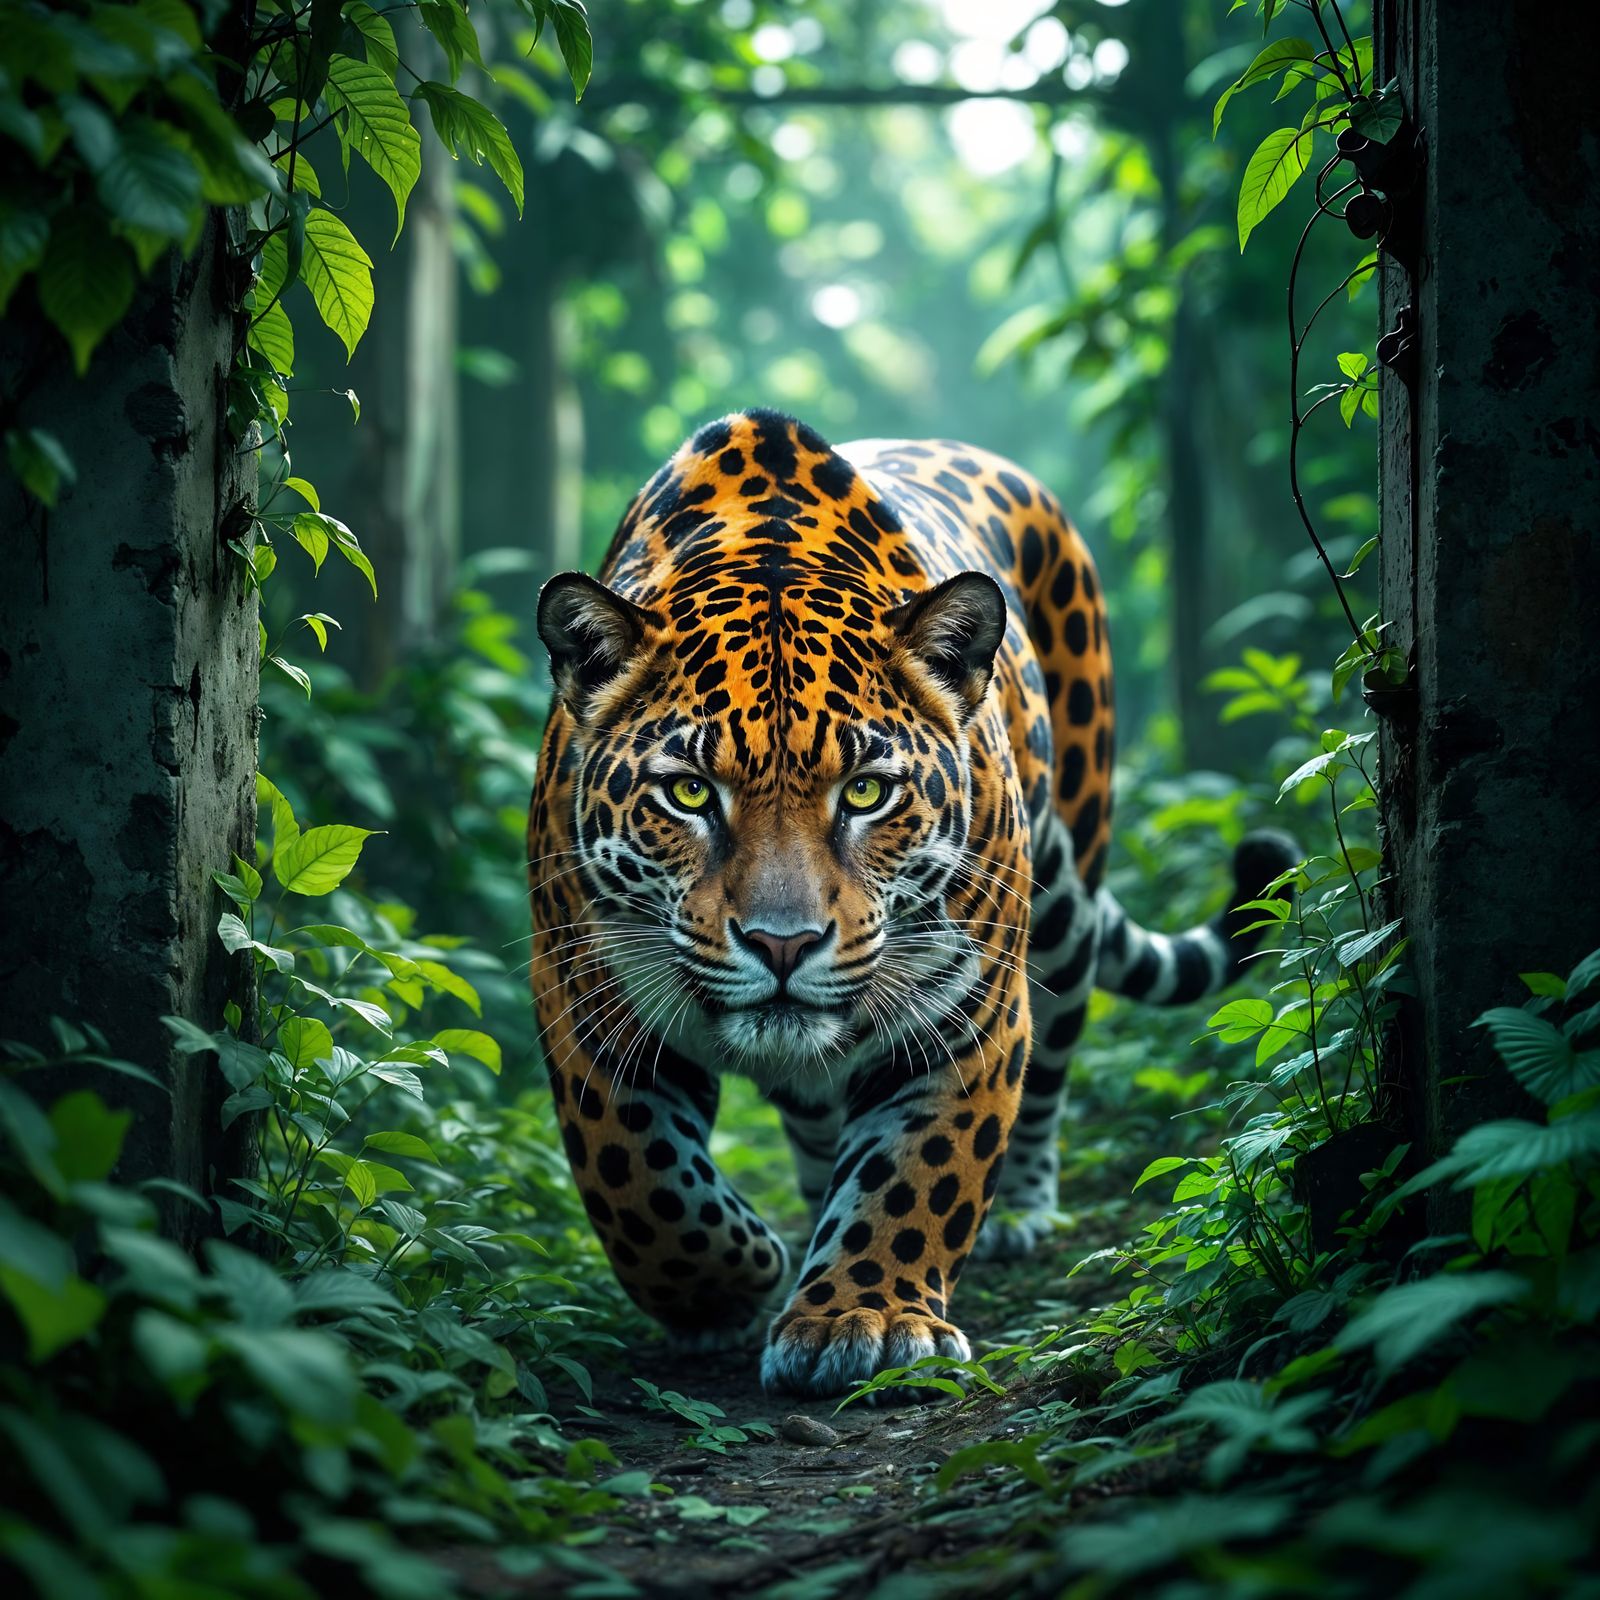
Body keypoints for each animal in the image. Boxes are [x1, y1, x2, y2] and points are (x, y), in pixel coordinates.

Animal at [526, 408, 1295, 1399]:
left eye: (866, 793)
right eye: (690, 793)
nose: (784, 945)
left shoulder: (964, 1009)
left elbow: (919, 1173)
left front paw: (864, 1317)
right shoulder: (588, 1005)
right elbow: (643, 1187)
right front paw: (731, 1287)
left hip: (1065, 898)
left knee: (1051, 1064)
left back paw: (1020, 1214)